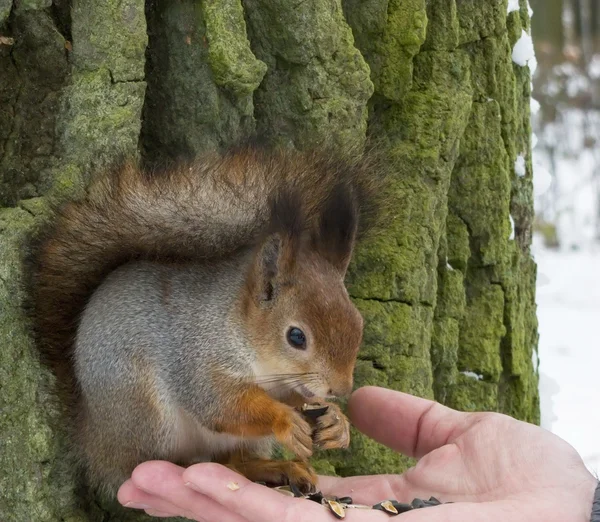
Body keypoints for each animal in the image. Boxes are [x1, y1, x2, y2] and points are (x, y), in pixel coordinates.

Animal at [28, 144, 382, 494]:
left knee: (233, 461)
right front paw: (286, 421)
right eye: (296, 336)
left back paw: (275, 468)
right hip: (143, 412)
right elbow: (220, 404)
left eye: (358, 323)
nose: (340, 388)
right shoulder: (198, 358)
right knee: (140, 466)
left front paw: (336, 422)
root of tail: (91, 439)